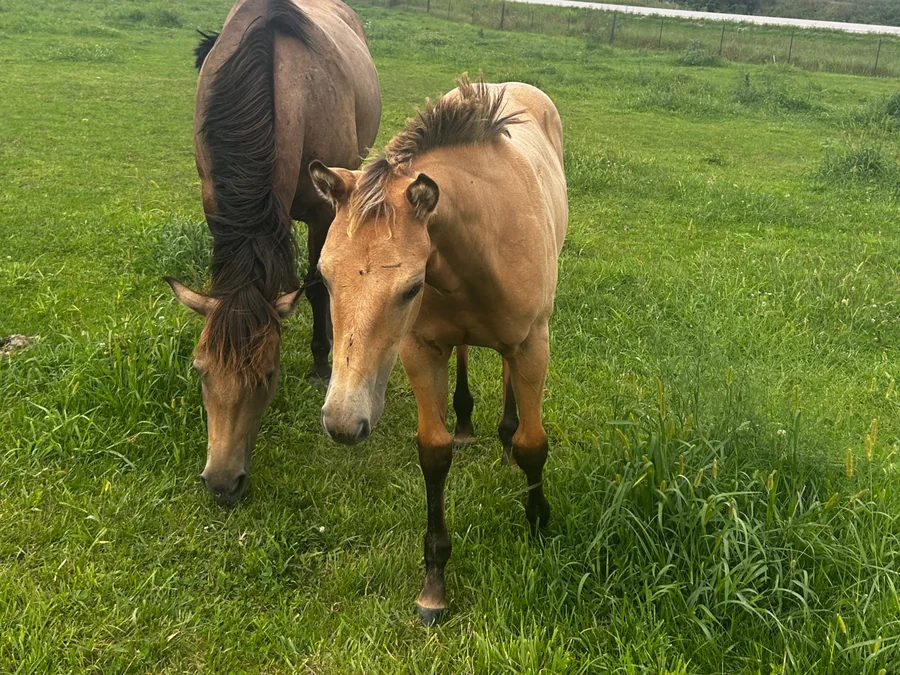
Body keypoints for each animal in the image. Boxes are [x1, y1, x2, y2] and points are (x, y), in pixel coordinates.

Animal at [165, 0, 381, 506]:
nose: (222, 484)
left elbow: (318, 285)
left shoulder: (323, 211)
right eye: (200, 370)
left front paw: (321, 363)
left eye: (267, 375)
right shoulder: (214, 202)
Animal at [308, 76, 568, 623]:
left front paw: (538, 526)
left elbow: (535, 444)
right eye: (324, 275)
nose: (342, 422)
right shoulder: (421, 349)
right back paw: (469, 423)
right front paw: (434, 585)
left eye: (410, 287)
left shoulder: (534, 343)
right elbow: (434, 451)